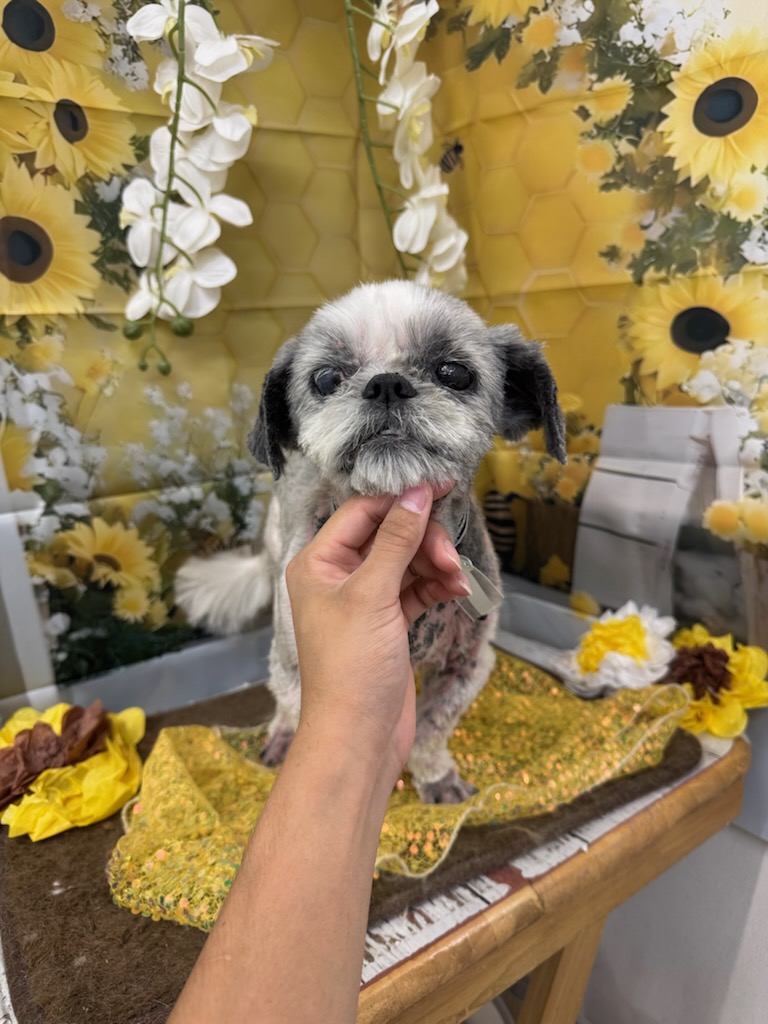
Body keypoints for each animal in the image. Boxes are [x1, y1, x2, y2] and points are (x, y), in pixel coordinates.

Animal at [176, 280, 565, 803]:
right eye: (325, 379)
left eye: (454, 372)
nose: (386, 384)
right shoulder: (305, 663)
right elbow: (300, 712)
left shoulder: (468, 665)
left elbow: (431, 729)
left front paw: (436, 778)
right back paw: (280, 735)